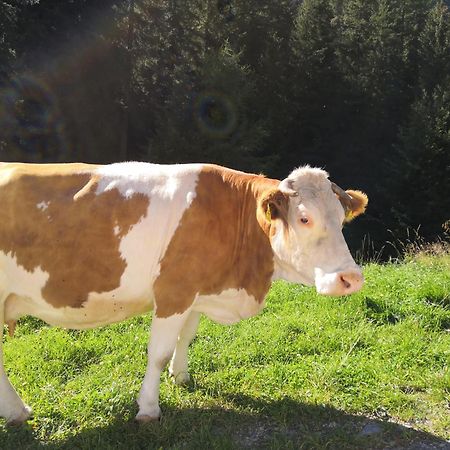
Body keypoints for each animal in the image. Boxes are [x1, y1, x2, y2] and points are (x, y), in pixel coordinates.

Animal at [0, 163, 368, 426]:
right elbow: (158, 353)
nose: (351, 279)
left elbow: (186, 336)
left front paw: (181, 377)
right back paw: (18, 411)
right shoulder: (173, 292)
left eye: (341, 219)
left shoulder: (195, 293)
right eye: (304, 218)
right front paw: (149, 408)